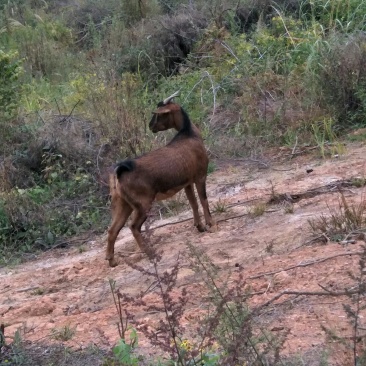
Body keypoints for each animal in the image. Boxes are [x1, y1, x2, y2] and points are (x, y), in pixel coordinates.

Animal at [105, 93, 214, 268]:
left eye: (160, 114)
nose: (151, 126)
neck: (189, 134)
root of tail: (119, 172)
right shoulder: (200, 176)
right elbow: (204, 200)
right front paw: (210, 223)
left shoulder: (187, 183)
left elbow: (193, 203)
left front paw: (200, 226)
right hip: (143, 204)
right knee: (133, 226)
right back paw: (148, 252)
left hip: (122, 203)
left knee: (113, 229)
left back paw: (112, 260)